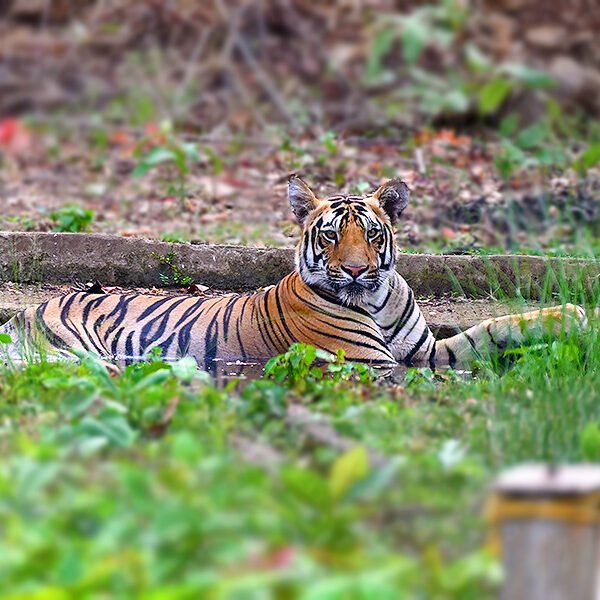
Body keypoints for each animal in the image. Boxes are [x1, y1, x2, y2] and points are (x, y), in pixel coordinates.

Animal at [0, 175, 588, 370]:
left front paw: (573, 315)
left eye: (371, 234)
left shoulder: (426, 351)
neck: (375, 299)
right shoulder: (373, 366)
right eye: (329, 235)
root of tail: (30, 309)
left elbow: (492, 330)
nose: (355, 271)